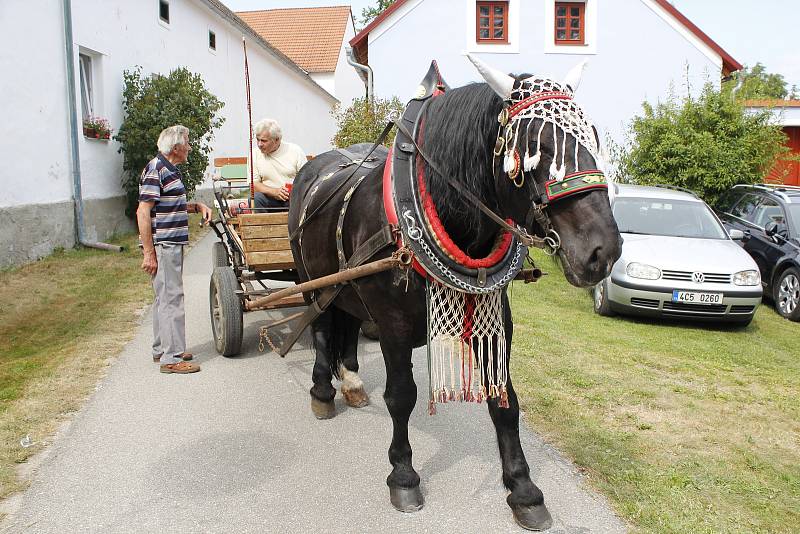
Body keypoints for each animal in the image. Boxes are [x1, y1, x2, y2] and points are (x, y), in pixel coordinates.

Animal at [290, 57, 624, 532]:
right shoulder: (392, 325)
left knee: (348, 325)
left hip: (347, 285)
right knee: (320, 329)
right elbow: (402, 397)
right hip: (311, 281)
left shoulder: (495, 317)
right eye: (536, 145)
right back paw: (322, 391)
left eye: (593, 137)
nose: (603, 251)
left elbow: (505, 401)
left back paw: (351, 382)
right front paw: (404, 474)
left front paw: (524, 489)